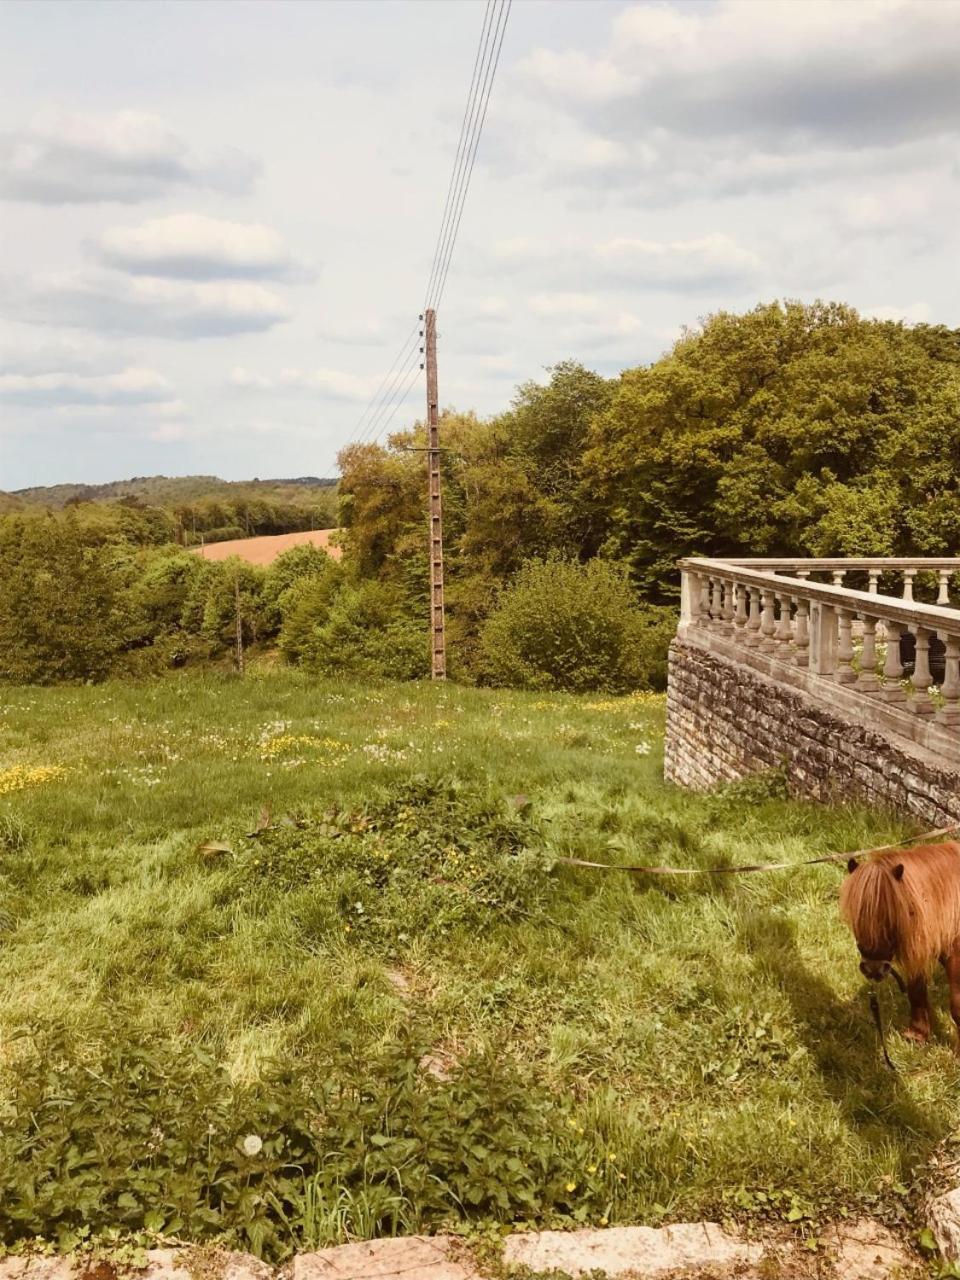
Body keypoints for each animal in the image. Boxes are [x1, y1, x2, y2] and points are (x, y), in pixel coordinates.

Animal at [844, 839, 960, 1049]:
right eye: (858, 916)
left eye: (890, 915)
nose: (874, 969)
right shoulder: (918, 952)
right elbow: (916, 992)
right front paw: (917, 1034)